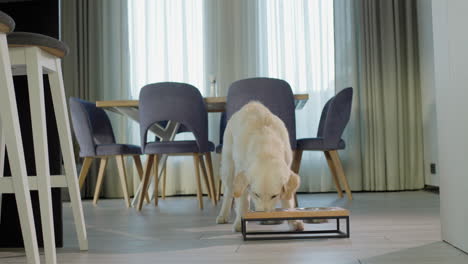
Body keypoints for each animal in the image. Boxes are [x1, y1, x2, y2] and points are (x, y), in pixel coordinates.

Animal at [216, 101, 304, 231]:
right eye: (256, 194)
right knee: (228, 192)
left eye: (274, 196)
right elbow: (243, 202)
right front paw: (239, 223)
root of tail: (252, 103)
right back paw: (223, 215)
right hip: (229, 166)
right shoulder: (241, 175)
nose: (264, 217)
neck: (266, 149)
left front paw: (294, 222)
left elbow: (287, 201)